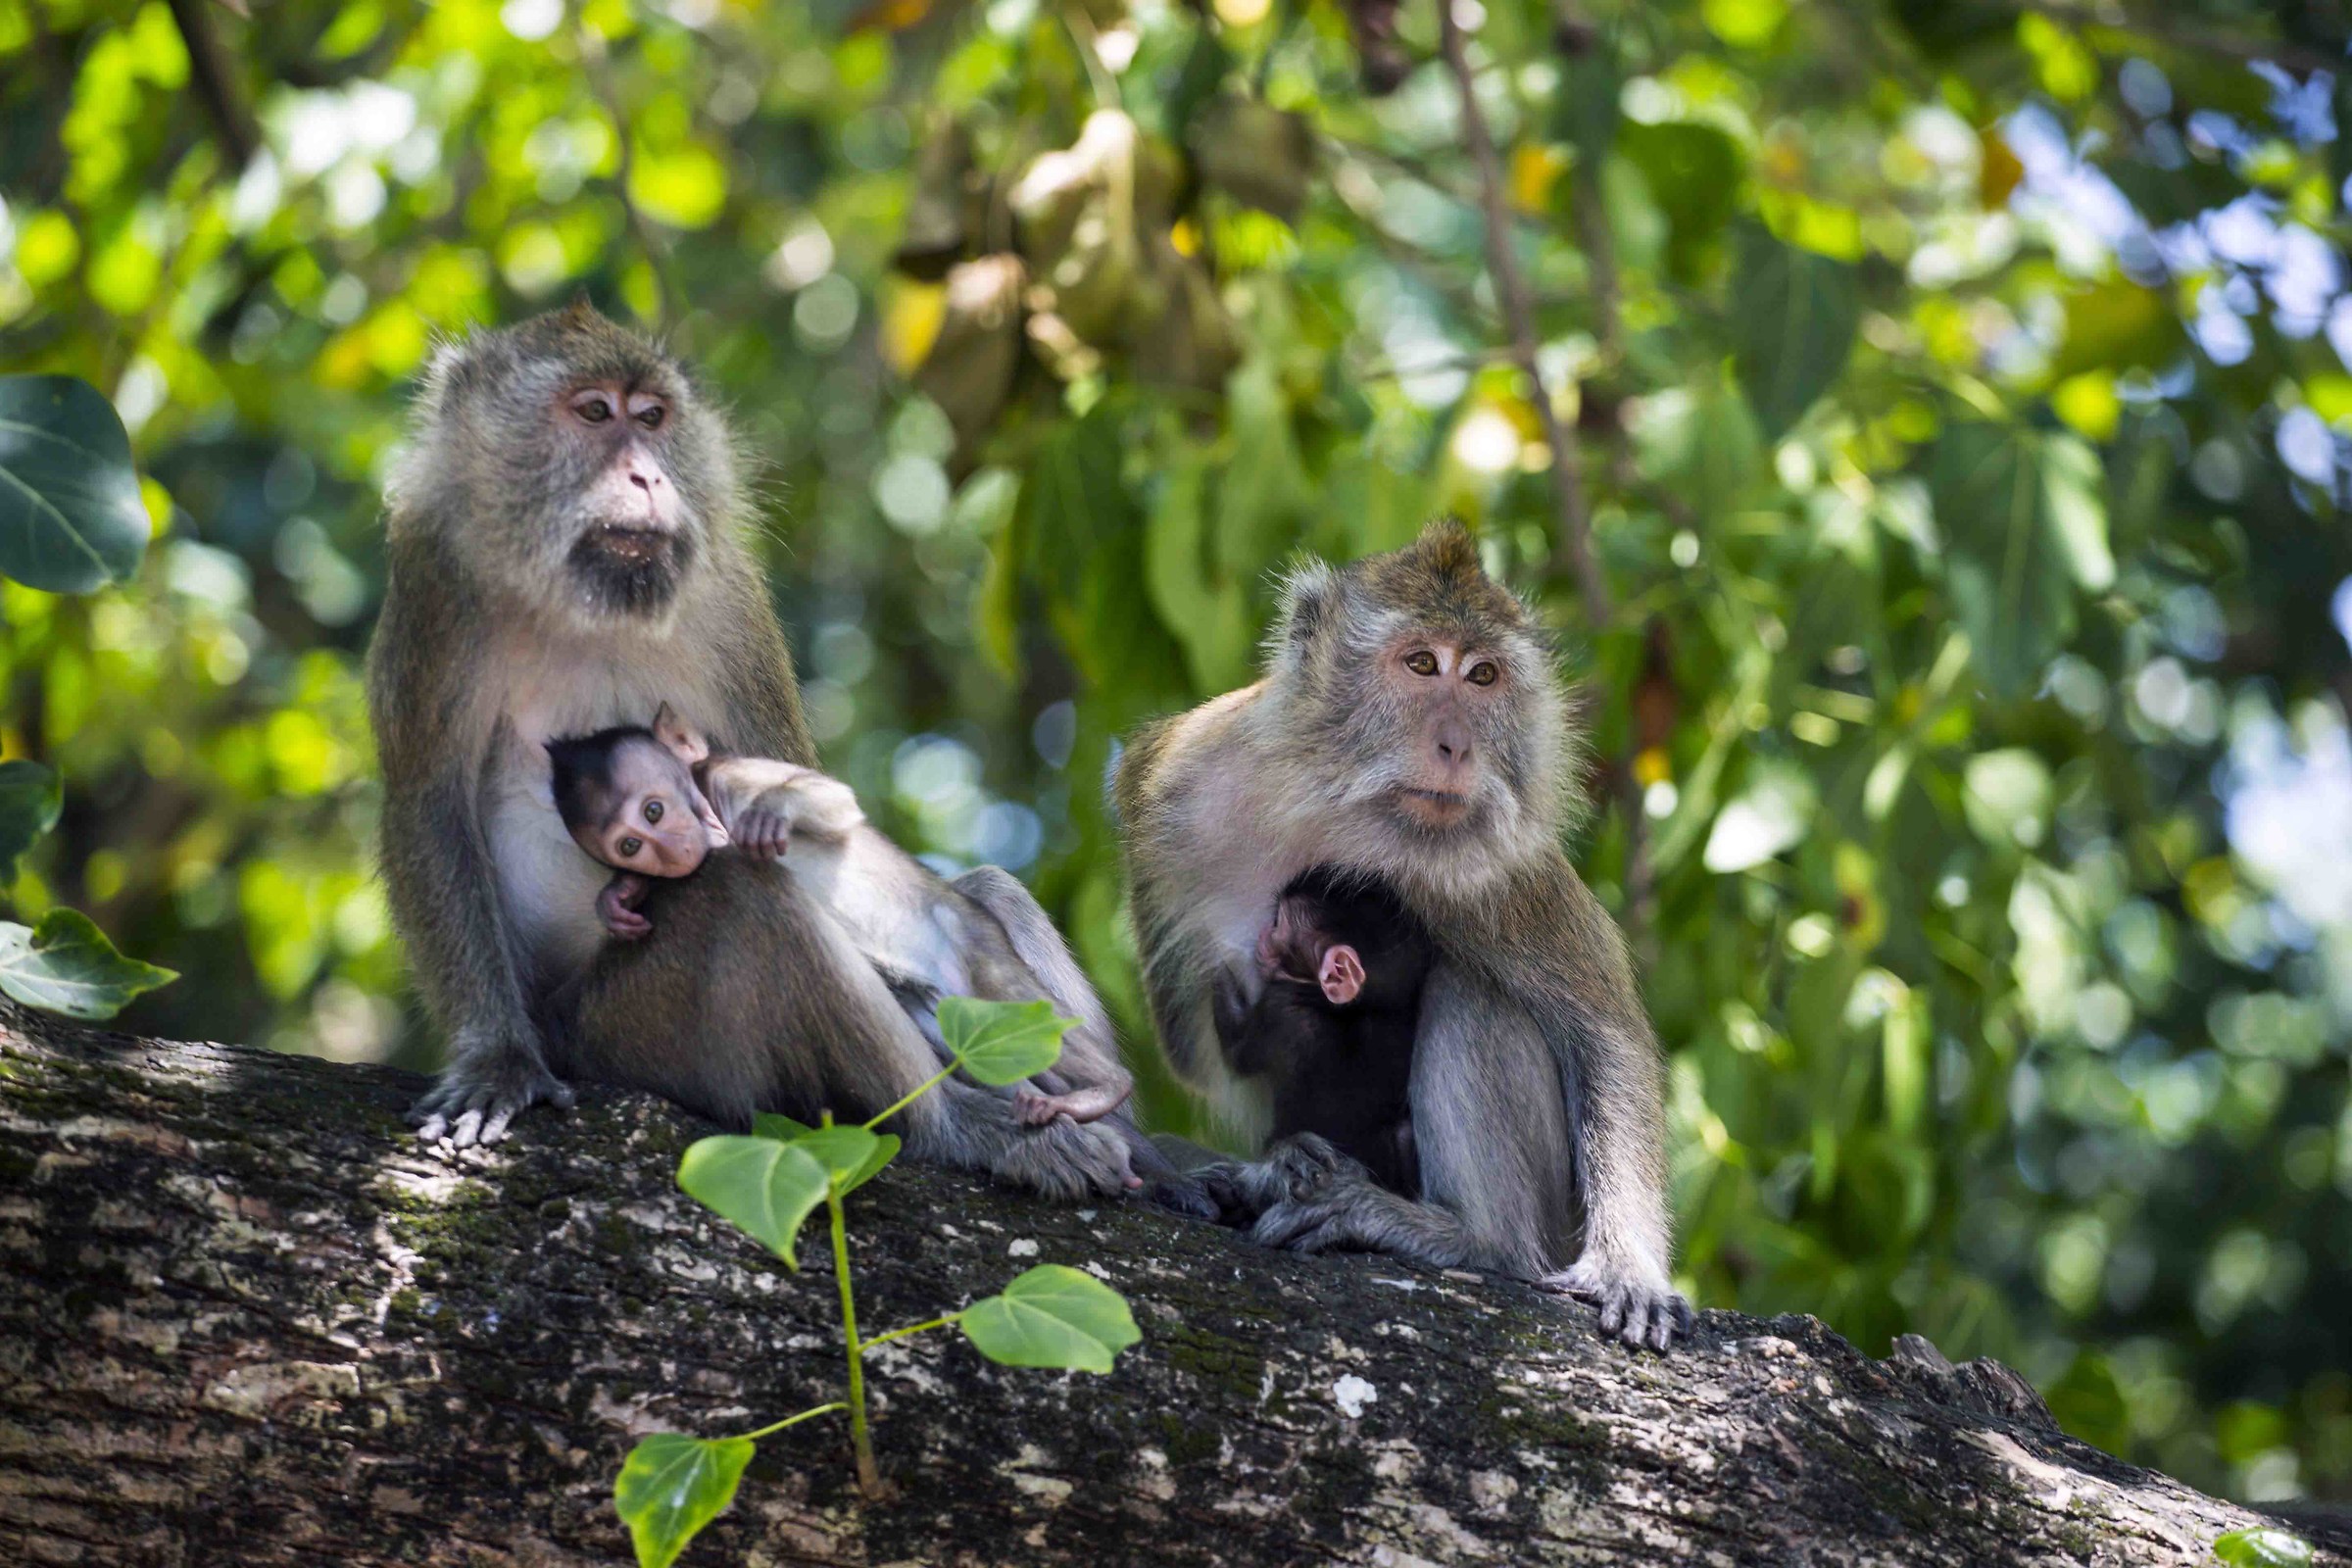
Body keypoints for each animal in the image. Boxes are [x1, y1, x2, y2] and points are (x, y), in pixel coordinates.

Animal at [544, 707, 1134, 1132]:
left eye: (654, 811)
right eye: (630, 846)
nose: (669, 852)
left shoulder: (733, 775)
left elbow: (831, 800)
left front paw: (772, 815)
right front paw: (620, 895)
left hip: (976, 954)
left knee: (1018, 1007)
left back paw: (1106, 1088)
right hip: (938, 1015)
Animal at [1214, 866, 1430, 1196]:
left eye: (1277, 924)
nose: (1263, 935)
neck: (1356, 1007)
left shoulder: (1278, 1006)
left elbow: (1237, 1052)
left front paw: (1216, 972)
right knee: (1404, 1136)